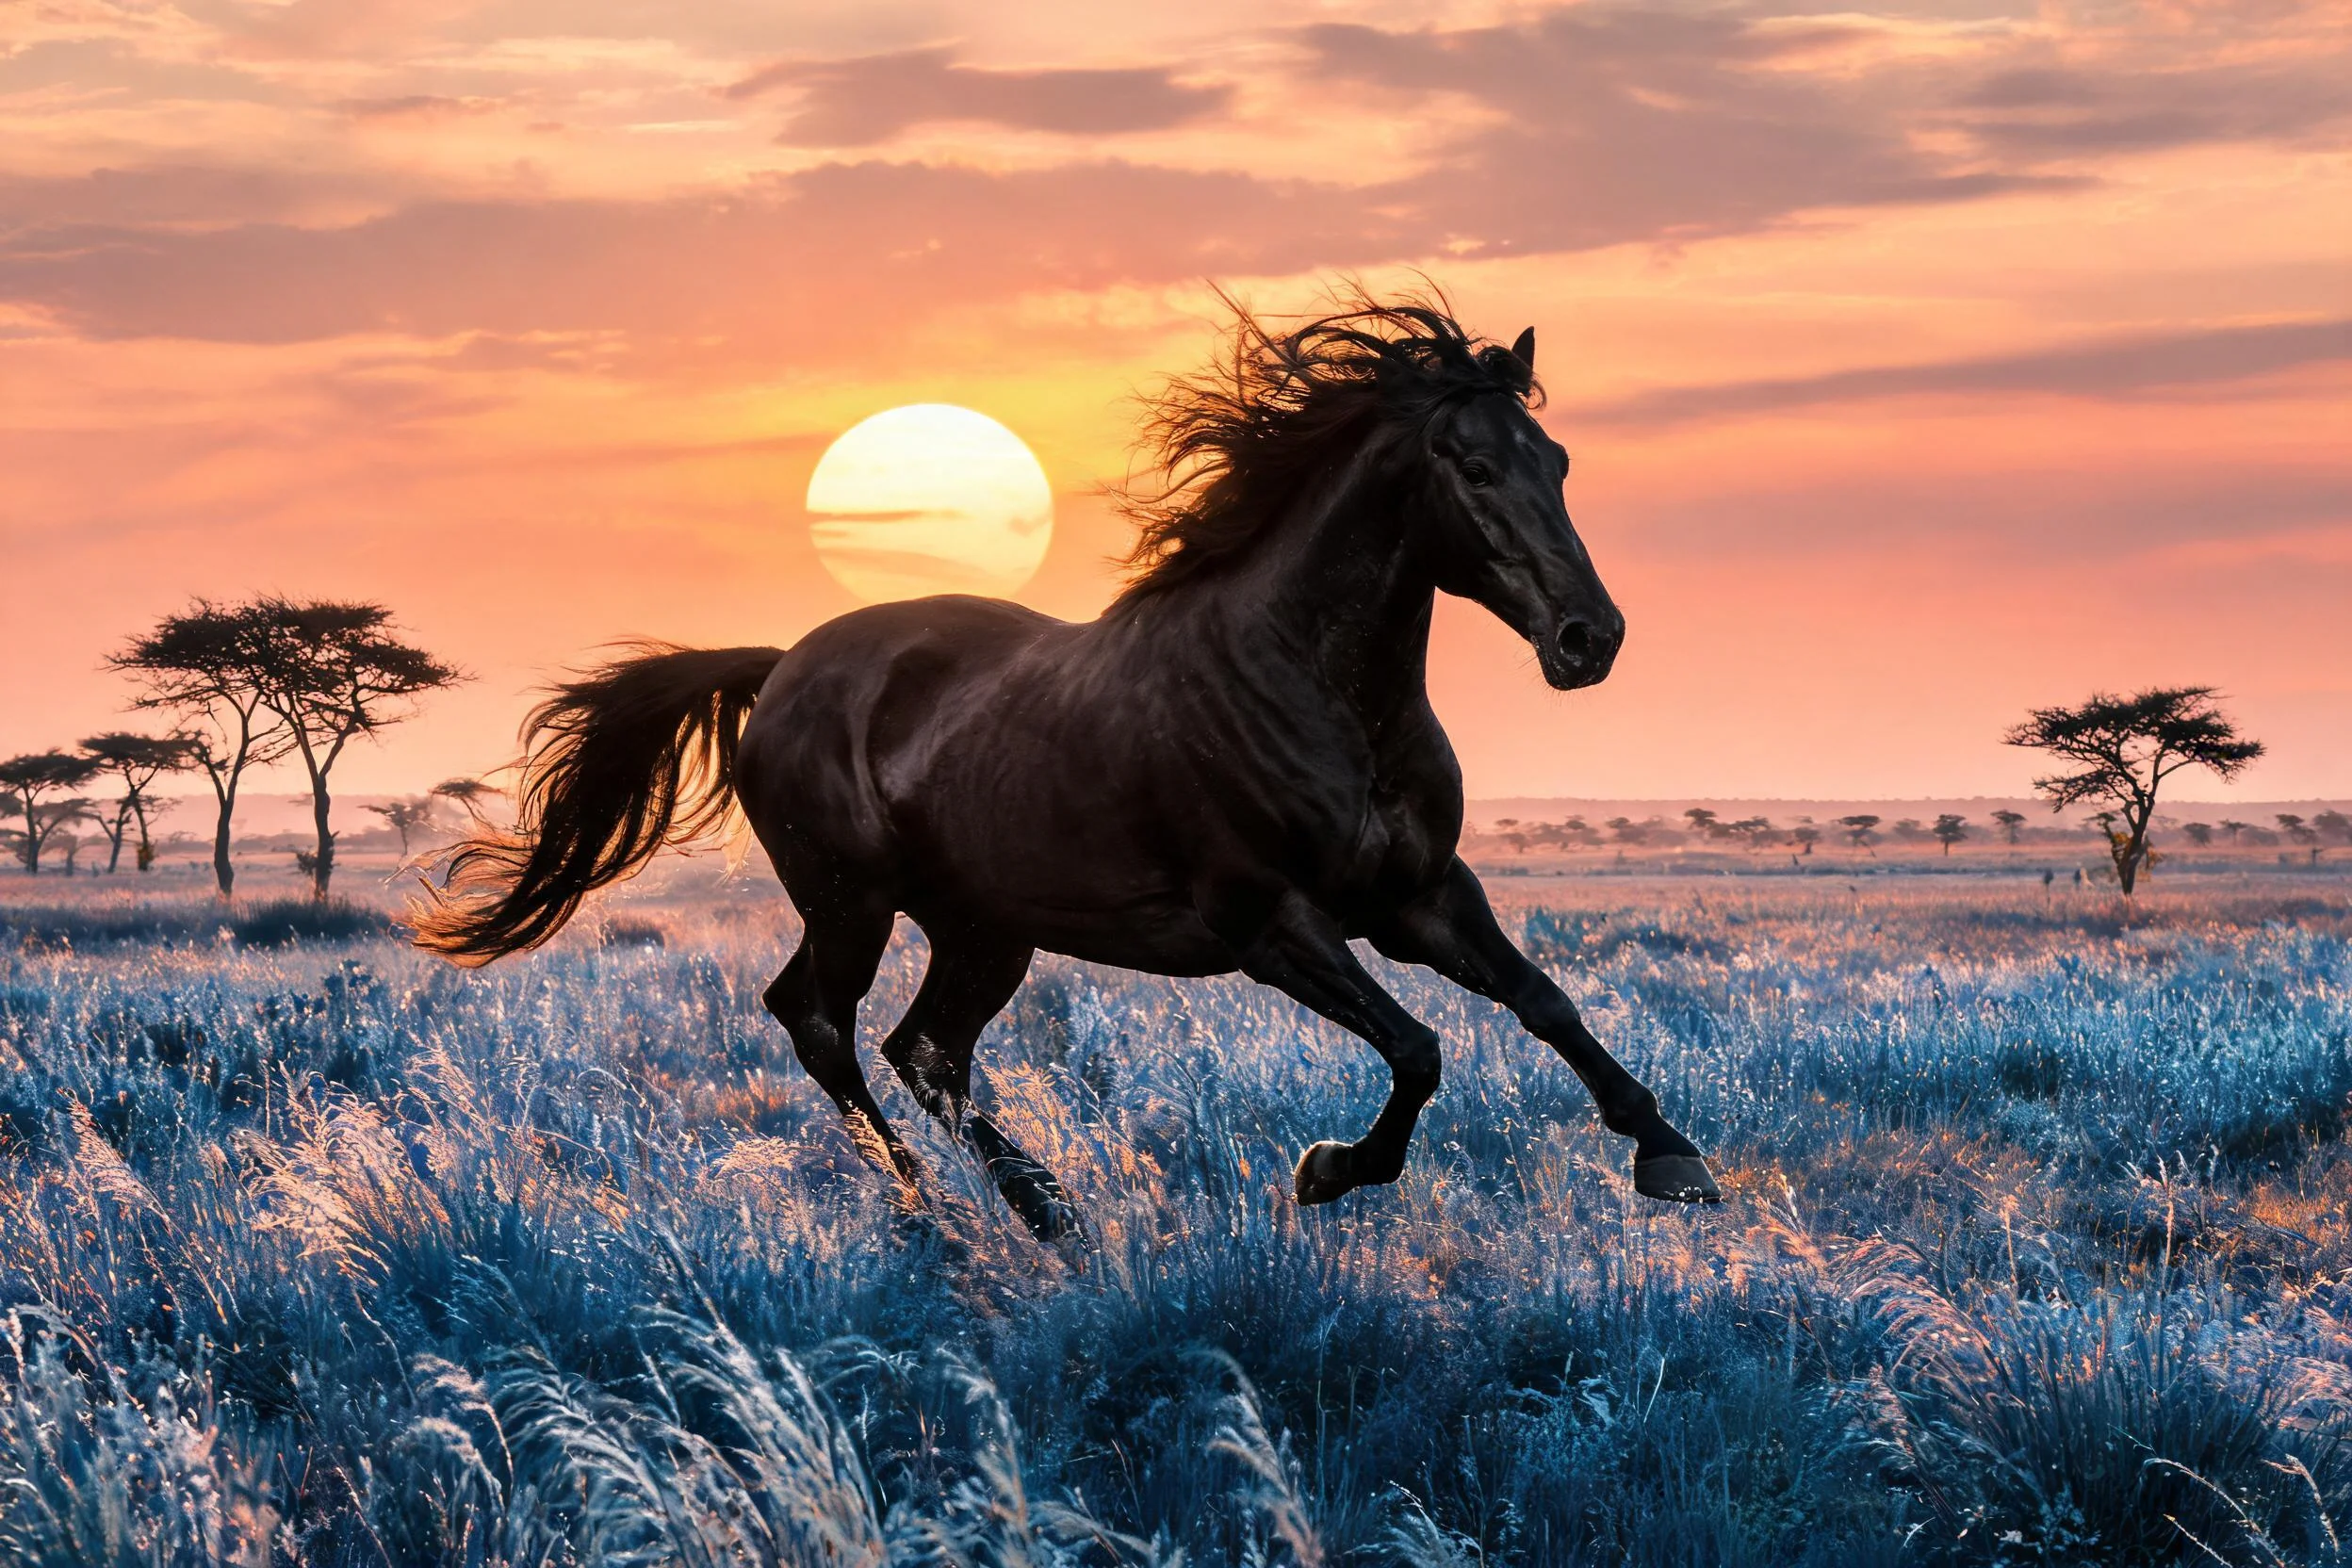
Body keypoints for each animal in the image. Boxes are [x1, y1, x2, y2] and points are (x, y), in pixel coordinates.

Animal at [414, 293, 1721, 1241]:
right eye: (1473, 466)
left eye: (1557, 457)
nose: (1589, 639)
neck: (1316, 687)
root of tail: (787, 665)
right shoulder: (1274, 922)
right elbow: (1419, 1047)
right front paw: (1326, 1170)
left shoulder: (1420, 897)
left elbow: (1544, 1001)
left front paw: (1672, 1155)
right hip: (853, 902)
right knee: (822, 1023)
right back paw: (937, 1211)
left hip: (985, 925)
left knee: (926, 1051)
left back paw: (1045, 1206)